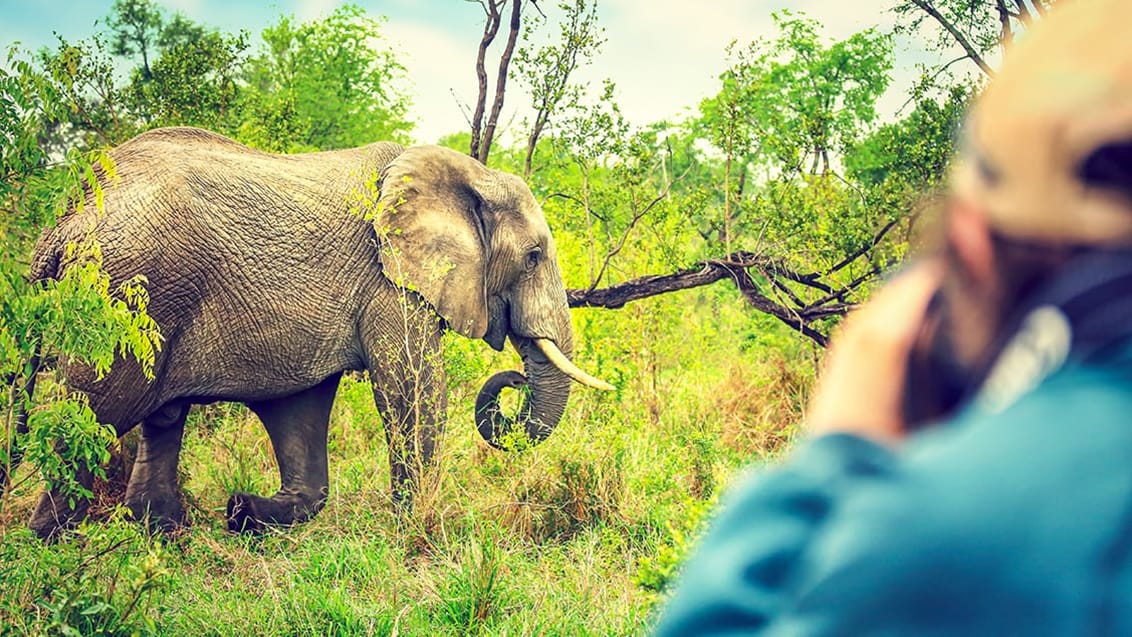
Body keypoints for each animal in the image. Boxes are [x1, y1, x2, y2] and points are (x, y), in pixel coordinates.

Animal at [26, 126, 611, 538]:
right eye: (533, 256)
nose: (516, 378)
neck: (471, 174)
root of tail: (67, 217)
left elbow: (300, 414)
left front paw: (242, 511)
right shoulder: (387, 279)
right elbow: (411, 389)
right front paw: (415, 528)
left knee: (162, 418)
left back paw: (164, 536)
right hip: (125, 295)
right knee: (93, 418)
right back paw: (49, 548)